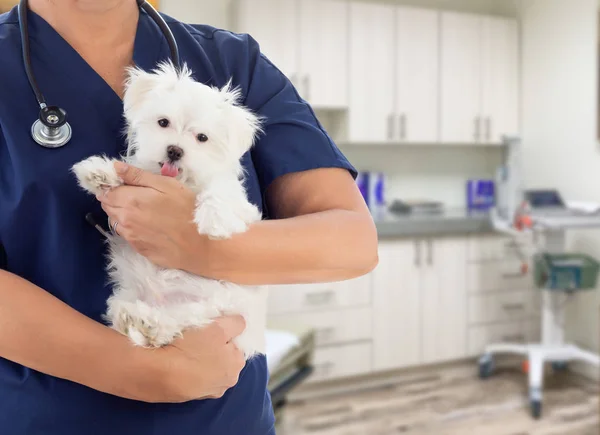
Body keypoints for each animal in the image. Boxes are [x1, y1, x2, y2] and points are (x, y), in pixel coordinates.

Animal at [71, 62, 264, 362]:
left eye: (202, 138)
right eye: (163, 123)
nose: (174, 150)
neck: (180, 182)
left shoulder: (238, 204)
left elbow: (220, 191)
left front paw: (214, 220)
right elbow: (128, 171)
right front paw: (99, 172)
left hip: (219, 304)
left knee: (180, 321)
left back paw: (150, 324)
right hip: (132, 289)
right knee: (126, 312)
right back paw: (133, 319)